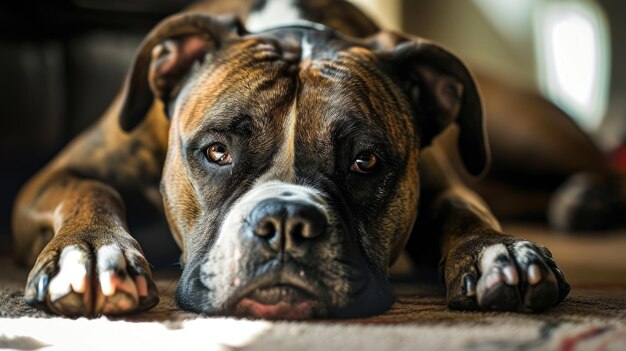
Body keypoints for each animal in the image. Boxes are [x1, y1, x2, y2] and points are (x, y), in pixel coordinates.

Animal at [12, 0, 576, 320]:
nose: (284, 220)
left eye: (366, 161)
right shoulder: (57, 176)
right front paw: (91, 254)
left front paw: (497, 252)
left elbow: (463, 207)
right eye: (217, 151)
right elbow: (91, 190)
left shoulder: (445, 184)